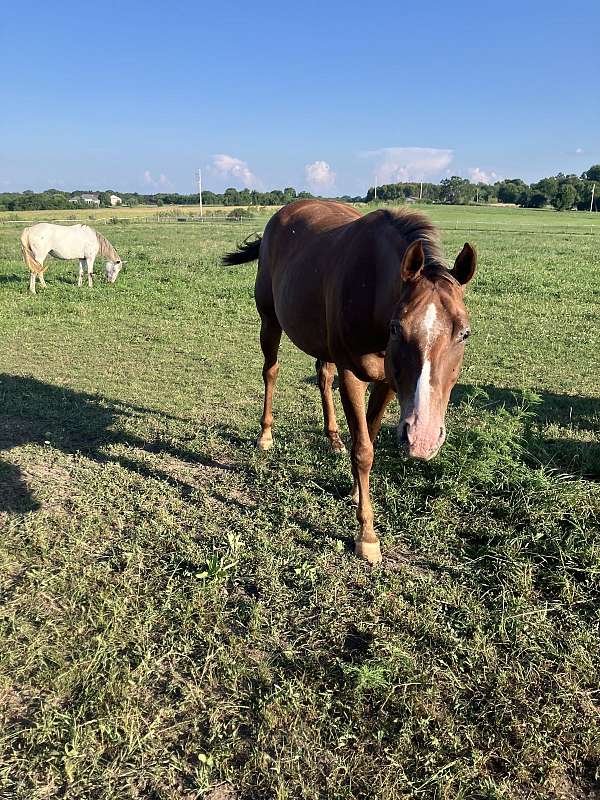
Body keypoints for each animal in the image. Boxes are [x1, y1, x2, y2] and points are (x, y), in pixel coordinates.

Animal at [223, 199, 476, 564]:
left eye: (464, 333)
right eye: (397, 328)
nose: (423, 439)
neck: (371, 290)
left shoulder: (388, 383)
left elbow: (368, 434)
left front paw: (356, 491)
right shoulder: (353, 376)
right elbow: (364, 450)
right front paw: (367, 536)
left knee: (323, 376)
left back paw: (333, 438)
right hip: (270, 321)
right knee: (271, 371)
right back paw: (266, 435)